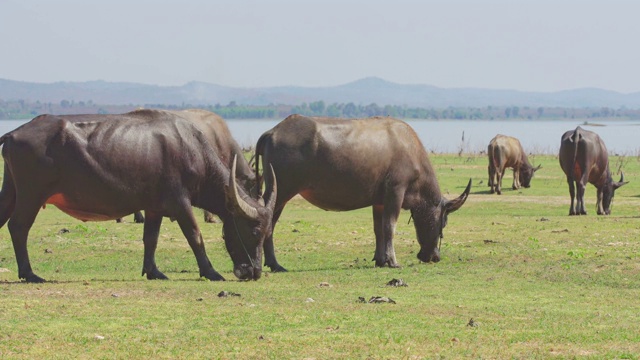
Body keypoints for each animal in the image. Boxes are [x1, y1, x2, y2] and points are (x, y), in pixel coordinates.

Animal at [0, 108, 276, 282]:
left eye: (265, 234)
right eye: (253, 231)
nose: (253, 272)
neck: (192, 149)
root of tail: (14, 133)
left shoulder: (154, 208)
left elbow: (150, 239)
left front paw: (153, 271)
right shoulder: (180, 204)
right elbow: (195, 236)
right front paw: (210, 272)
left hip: (11, 193)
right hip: (31, 196)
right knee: (18, 227)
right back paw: (29, 273)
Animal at [254, 114, 470, 272]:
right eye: (443, 222)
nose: (434, 256)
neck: (410, 149)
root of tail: (272, 132)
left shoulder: (379, 201)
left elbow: (378, 229)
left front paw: (381, 259)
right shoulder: (395, 192)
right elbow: (390, 227)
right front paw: (392, 261)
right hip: (281, 192)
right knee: (269, 222)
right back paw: (275, 264)